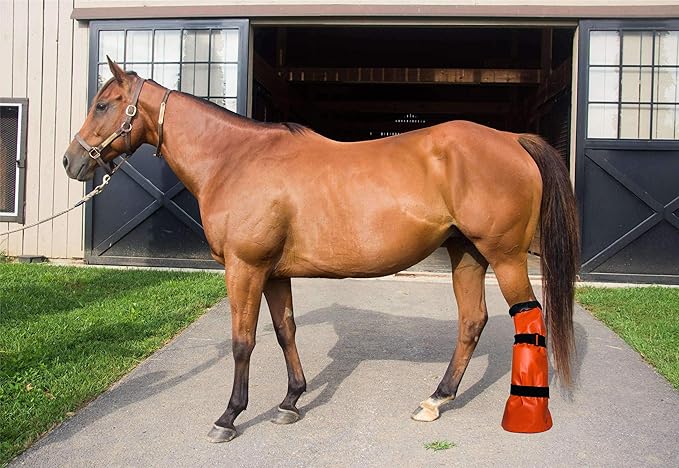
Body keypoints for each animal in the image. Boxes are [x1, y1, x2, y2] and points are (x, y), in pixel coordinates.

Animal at [63, 58, 579, 442]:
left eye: (104, 104)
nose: (71, 161)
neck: (235, 159)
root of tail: (511, 139)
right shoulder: (273, 273)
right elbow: (285, 331)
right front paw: (291, 401)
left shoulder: (244, 268)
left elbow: (242, 342)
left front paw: (229, 417)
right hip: (467, 254)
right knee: (472, 322)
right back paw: (436, 400)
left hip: (504, 257)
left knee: (529, 318)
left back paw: (526, 415)